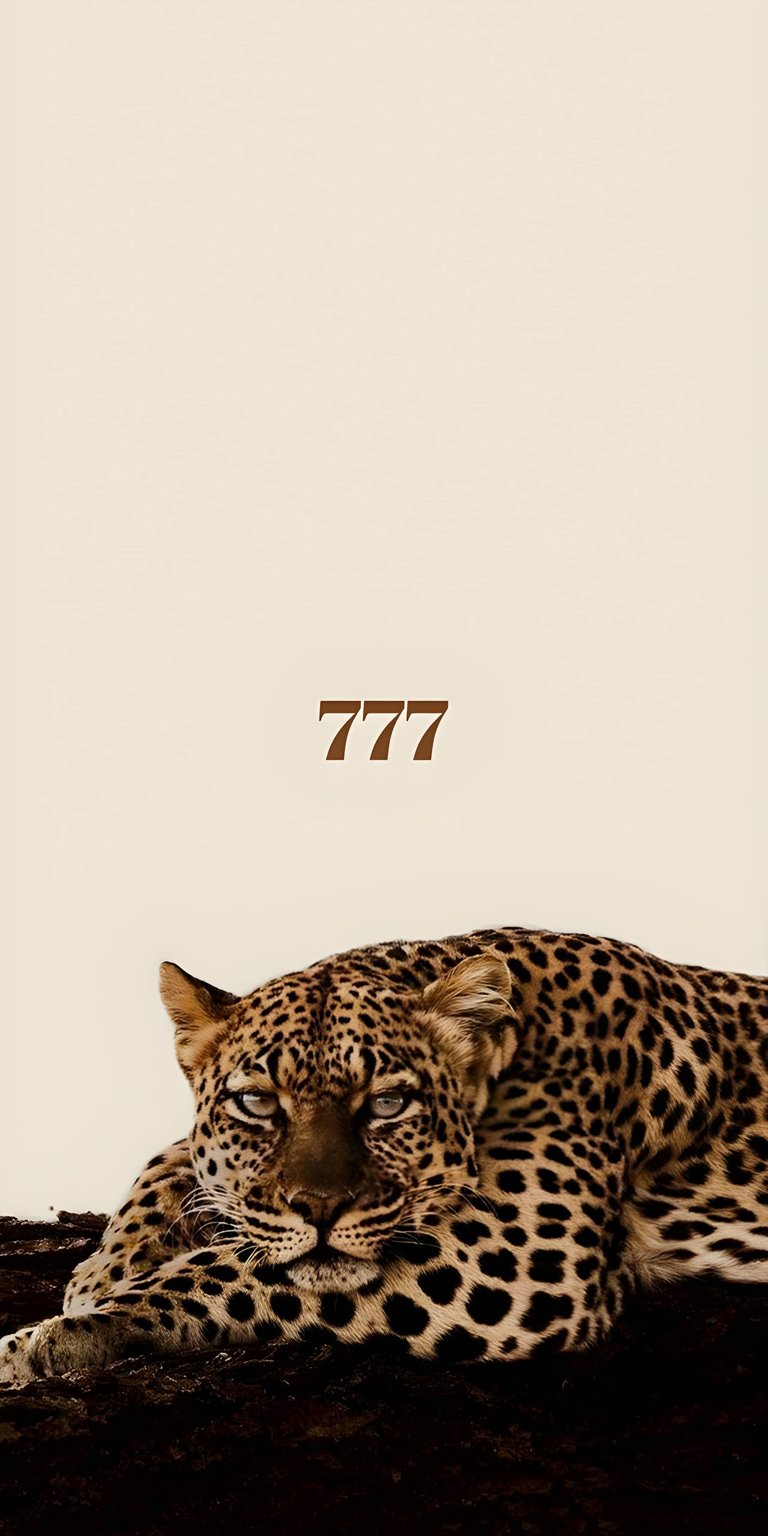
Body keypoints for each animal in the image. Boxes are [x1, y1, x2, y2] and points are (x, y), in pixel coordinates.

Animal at [2, 924, 767, 1387]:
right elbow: (175, 1161)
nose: (320, 1208)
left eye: (389, 1103)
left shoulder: (518, 1249)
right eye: (258, 1104)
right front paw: (102, 1269)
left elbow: (232, 1269)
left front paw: (55, 1336)